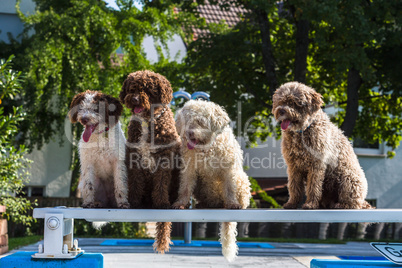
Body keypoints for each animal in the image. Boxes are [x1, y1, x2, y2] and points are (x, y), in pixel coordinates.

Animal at [119, 69, 181, 253]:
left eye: (148, 89)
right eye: (132, 88)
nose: (134, 99)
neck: (147, 121)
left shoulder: (164, 160)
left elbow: (160, 184)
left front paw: (161, 203)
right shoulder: (134, 159)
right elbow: (135, 183)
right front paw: (134, 202)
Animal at [174, 99, 251, 260]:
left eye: (200, 121)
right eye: (187, 121)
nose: (189, 133)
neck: (206, 148)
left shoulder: (229, 169)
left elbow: (229, 188)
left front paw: (233, 203)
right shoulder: (188, 169)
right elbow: (185, 187)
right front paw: (181, 203)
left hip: (242, 179)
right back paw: (203, 204)